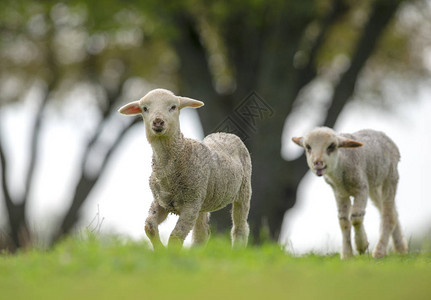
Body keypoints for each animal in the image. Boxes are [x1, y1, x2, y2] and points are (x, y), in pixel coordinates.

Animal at [119, 88, 253, 248]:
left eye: (173, 107)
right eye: (145, 108)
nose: (158, 121)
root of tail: (225, 134)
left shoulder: (190, 204)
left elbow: (175, 237)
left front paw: (170, 252)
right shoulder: (161, 201)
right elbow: (149, 226)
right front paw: (159, 249)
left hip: (243, 191)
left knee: (240, 227)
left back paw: (238, 248)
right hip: (202, 200)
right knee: (201, 232)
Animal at [294, 126, 408, 258]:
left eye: (331, 146)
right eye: (308, 147)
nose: (317, 163)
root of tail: (382, 134)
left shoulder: (362, 188)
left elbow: (356, 217)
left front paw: (362, 245)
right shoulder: (340, 193)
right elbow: (343, 221)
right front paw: (347, 254)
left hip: (391, 176)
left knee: (388, 214)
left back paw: (379, 251)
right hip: (374, 185)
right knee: (392, 211)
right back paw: (400, 247)